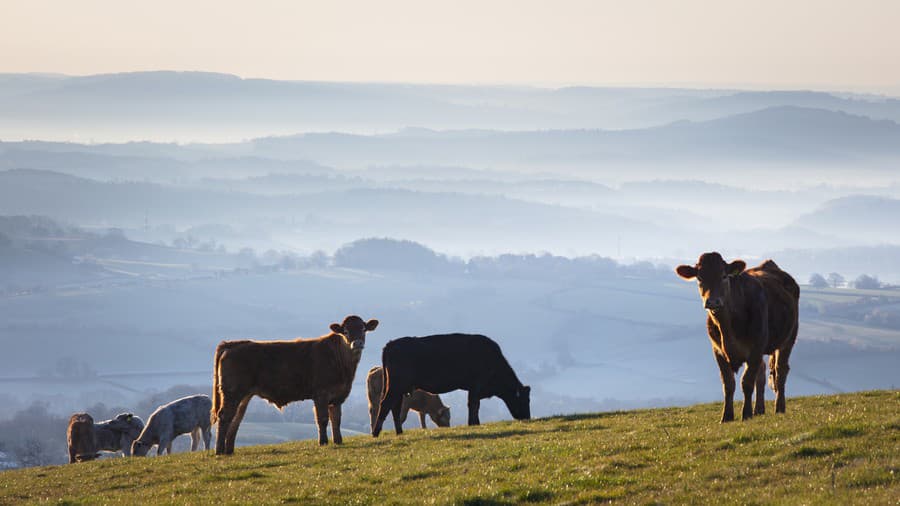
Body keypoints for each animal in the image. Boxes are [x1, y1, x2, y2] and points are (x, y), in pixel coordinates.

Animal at [213, 314, 378, 452]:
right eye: (345, 331)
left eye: (363, 329)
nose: (357, 343)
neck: (344, 367)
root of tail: (233, 343)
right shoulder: (321, 394)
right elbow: (323, 419)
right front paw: (323, 442)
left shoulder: (338, 396)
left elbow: (336, 419)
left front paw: (338, 441)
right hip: (232, 391)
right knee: (224, 416)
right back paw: (219, 450)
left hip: (244, 395)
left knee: (236, 419)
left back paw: (229, 450)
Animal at [370, 334, 532, 436]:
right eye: (525, 400)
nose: (527, 418)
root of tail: (391, 344)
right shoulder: (476, 386)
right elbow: (473, 405)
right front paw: (473, 424)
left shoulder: (474, 388)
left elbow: (475, 405)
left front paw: (476, 424)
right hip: (395, 386)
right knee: (386, 405)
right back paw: (376, 433)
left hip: (398, 388)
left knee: (395, 408)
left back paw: (399, 432)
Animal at [676, 253, 800, 422]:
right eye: (700, 277)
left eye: (723, 276)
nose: (712, 301)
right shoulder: (718, 351)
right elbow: (728, 384)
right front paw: (727, 416)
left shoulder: (755, 349)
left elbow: (746, 382)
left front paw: (746, 414)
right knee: (762, 372)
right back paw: (759, 409)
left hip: (789, 338)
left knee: (780, 371)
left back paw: (779, 407)